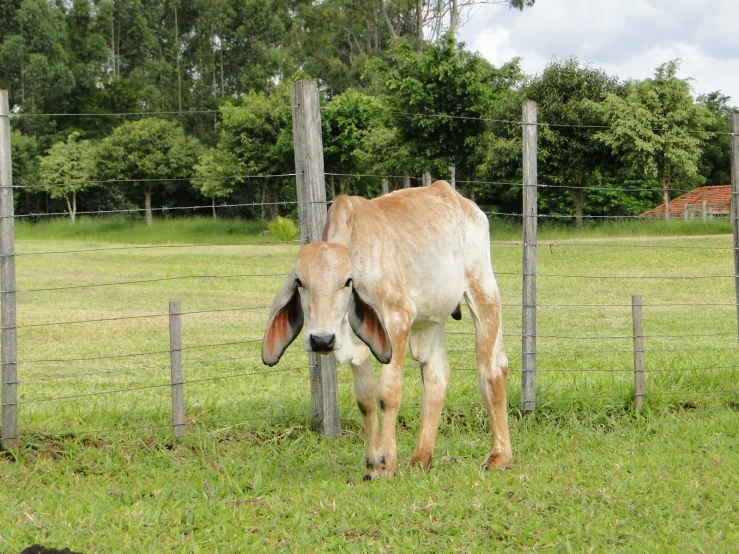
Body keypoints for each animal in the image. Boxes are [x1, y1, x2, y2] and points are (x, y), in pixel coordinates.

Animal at [264, 179, 512, 476]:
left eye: (348, 281)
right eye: (300, 282)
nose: (321, 340)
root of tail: (462, 201)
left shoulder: (397, 320)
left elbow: (388, 394)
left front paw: (387, 463)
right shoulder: (360, 338)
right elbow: (366, 399)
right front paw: (372, 462)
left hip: (483, 290)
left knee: (493, 369)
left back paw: (499, 456)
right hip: (432, 319)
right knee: (437, 377)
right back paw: (421, 459)